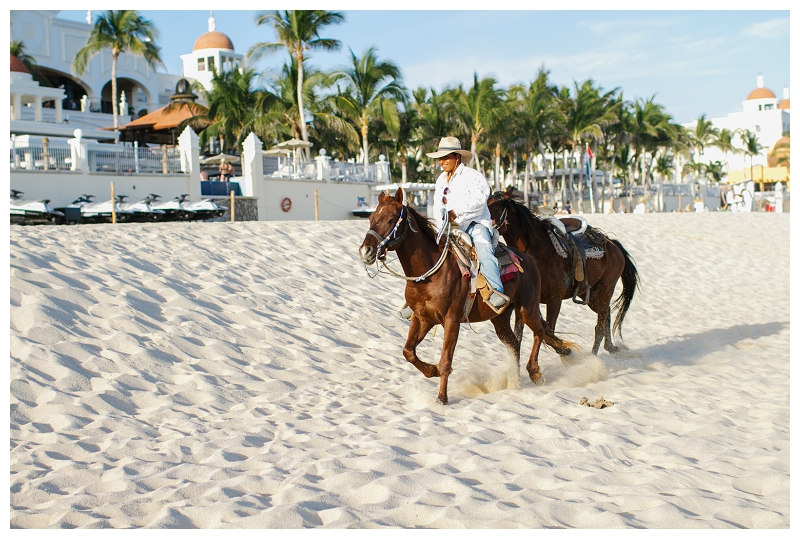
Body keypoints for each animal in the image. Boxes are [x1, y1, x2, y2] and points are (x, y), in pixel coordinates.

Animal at [358, 189, 552, 404]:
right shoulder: (422, 318)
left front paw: (442, 398)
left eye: (391, 219)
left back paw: (534, 371)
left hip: (527, 308)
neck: (430, 274)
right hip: (500, 318)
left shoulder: (452, 320)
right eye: (371, 219)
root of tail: (528, 259)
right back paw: (514, 382)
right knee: (514, 344)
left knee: (540, 331)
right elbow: (408, 351)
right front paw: (431, 370)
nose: (366, 251)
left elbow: (445, 361)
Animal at [488, 194, 636, 358]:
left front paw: (565, 351)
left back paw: (594, 355)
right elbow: (521, 336)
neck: (538, 252)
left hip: (606, 288)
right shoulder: (525, 303)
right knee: (606, 315)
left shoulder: (554, 299)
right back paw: (610, 347)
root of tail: (613, 245)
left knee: (600, 324)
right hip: (591, 295)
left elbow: (548, 332)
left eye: (497, 209)